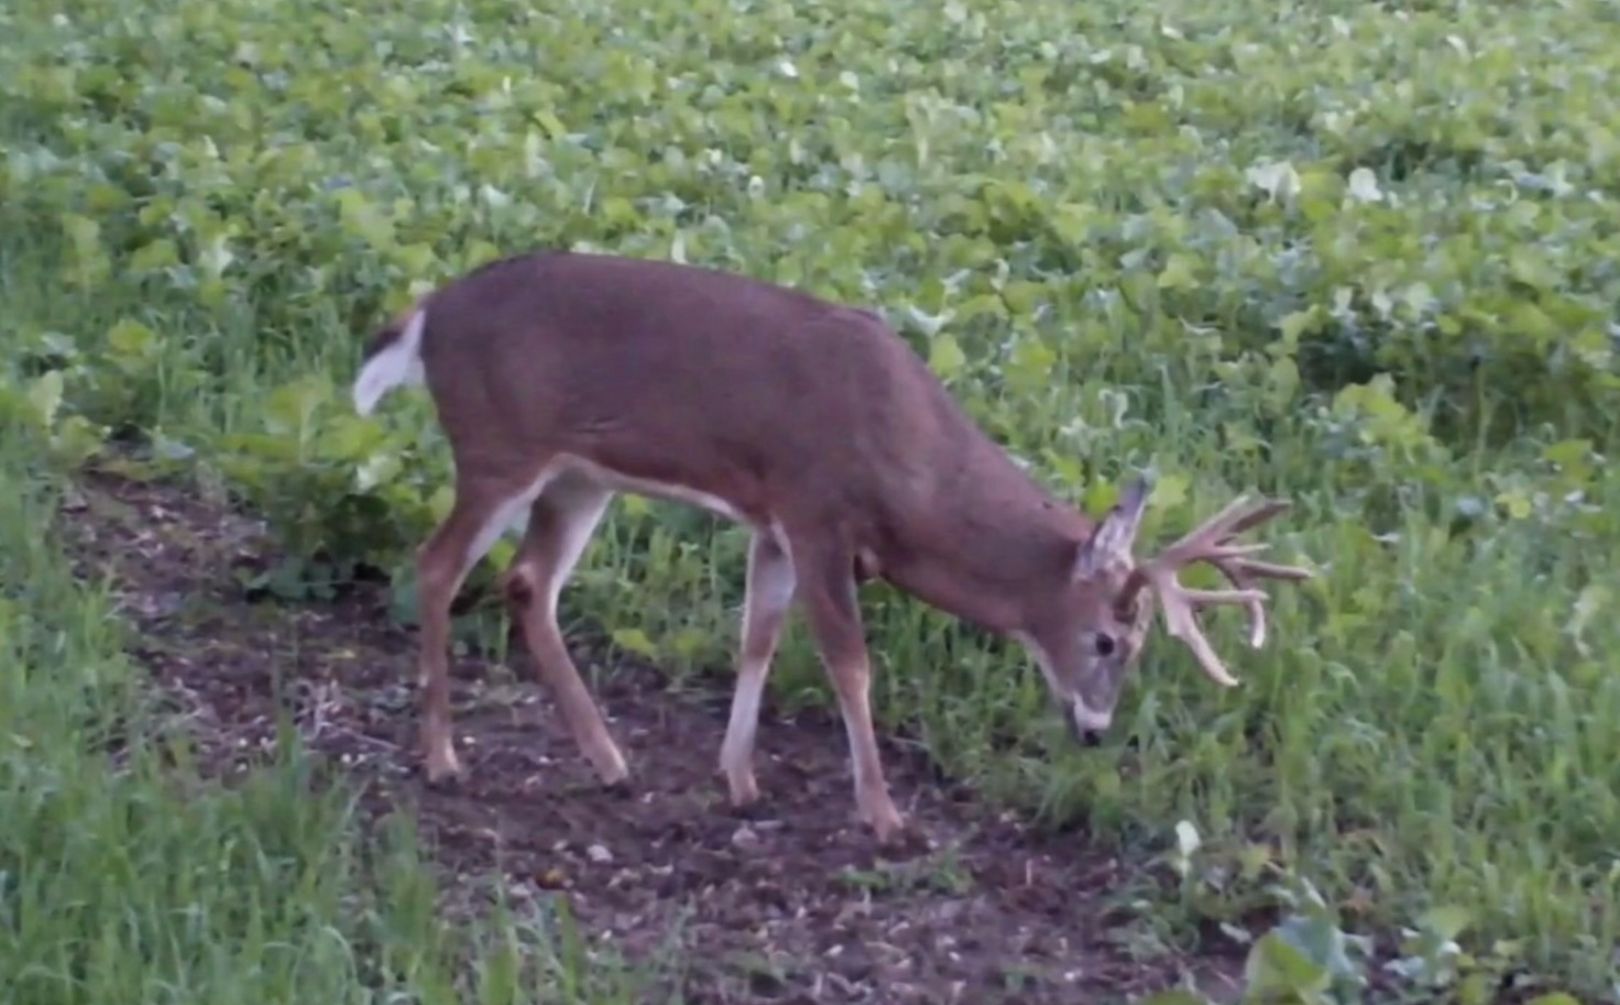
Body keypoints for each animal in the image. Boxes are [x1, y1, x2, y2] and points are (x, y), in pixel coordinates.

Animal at [348, 249, 1308, 842]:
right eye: (1110, 639)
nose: (1097, 730)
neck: (912, 468)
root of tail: (425, 316)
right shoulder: (817, 512)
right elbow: (849, 660)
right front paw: (882, 813)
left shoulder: (775, 522)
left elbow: (758, 638)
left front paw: (739, 777)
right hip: (497, 446)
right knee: (438, 564)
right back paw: (443, 757)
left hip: (580, 475)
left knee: (528, 583)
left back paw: (612, 761)